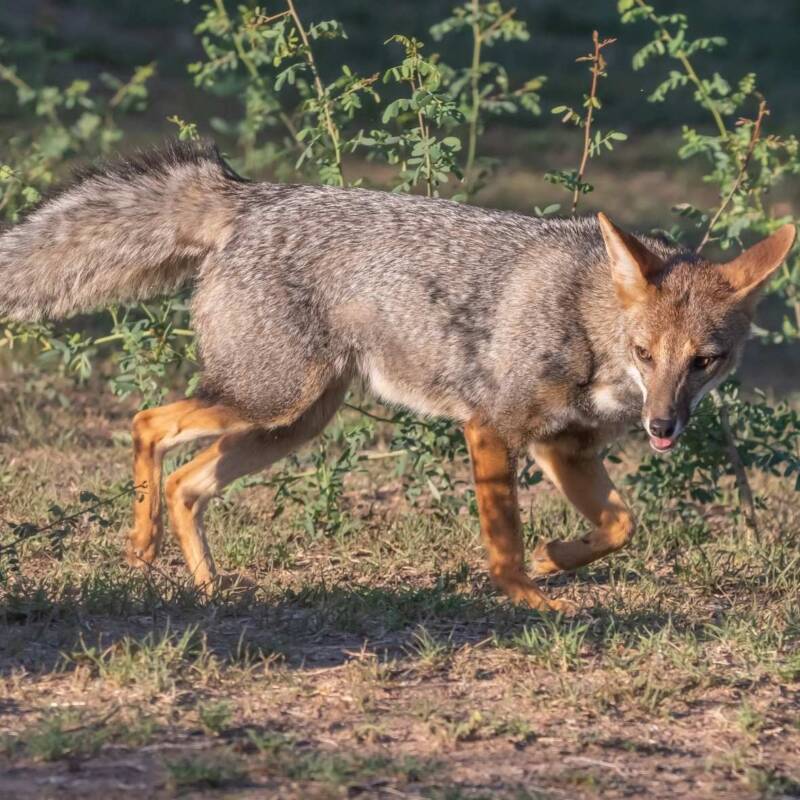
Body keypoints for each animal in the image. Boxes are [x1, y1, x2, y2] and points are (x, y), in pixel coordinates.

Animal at [0, 141, 794, 613]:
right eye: (645, 353)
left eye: (704, 361)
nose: (663, 426)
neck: (583, 315)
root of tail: (259, 195)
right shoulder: (492, 428)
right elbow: (504, 540)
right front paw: (529, 595)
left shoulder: (563, 448)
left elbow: (621, 525)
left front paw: (556, 558)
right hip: (269, 402)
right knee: (146, 423)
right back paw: (142, 546)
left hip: (288, 424)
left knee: (186, 484)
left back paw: (208, 587)